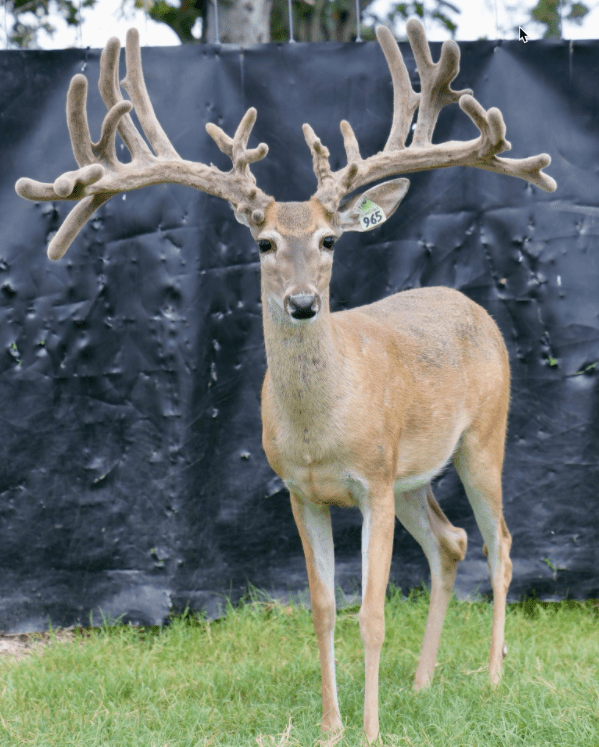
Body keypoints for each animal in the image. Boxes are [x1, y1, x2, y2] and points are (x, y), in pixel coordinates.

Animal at [15, 20, 556, 743]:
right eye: (265, 242)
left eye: (329, 240)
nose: (302, 302)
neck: (321, 428)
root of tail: (471, 304)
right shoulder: (302, 491)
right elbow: (323, 606)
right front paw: (331, 725)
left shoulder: (371, 480)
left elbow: (371, 611)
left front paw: (369, 730)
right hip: (413, 474)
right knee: (451, 541)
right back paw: (422, 680)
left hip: (481, 438)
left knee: (500, 541)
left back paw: (493, 675)